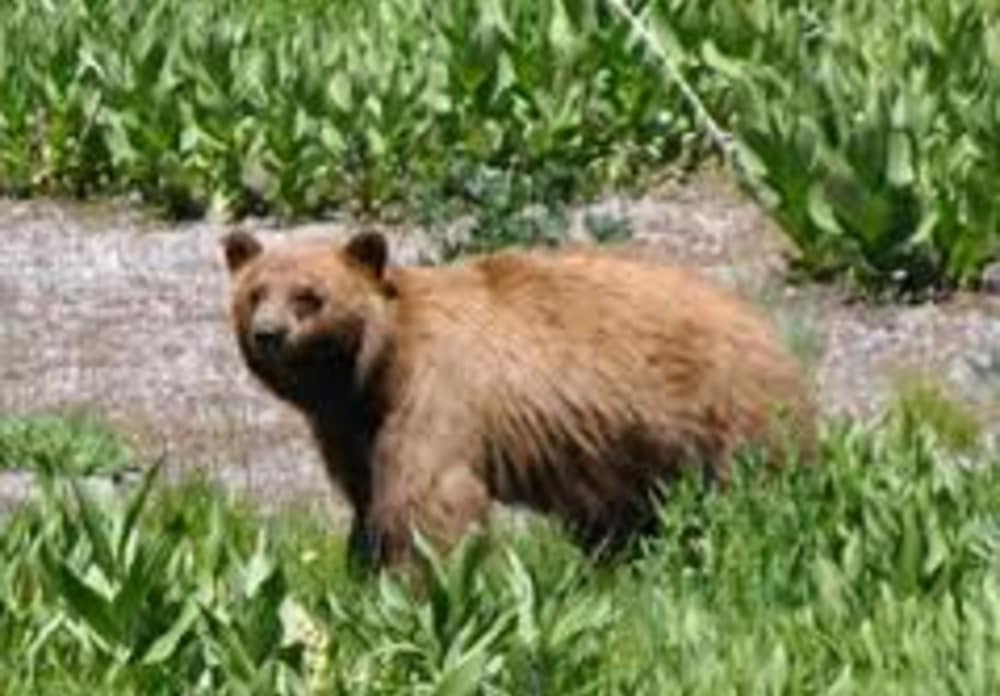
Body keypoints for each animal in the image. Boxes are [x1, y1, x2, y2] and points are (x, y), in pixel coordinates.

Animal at [223, 231, 816, 568]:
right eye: (255, 292)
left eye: (308, 296)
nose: (268, 333)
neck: (373, 368)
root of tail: (768, 328)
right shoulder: (351, 426)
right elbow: (368, 497)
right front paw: (361, 566)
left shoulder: (435, 389)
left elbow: (431, 497)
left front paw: (421, 578)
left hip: (726, 408)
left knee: (753, 484)